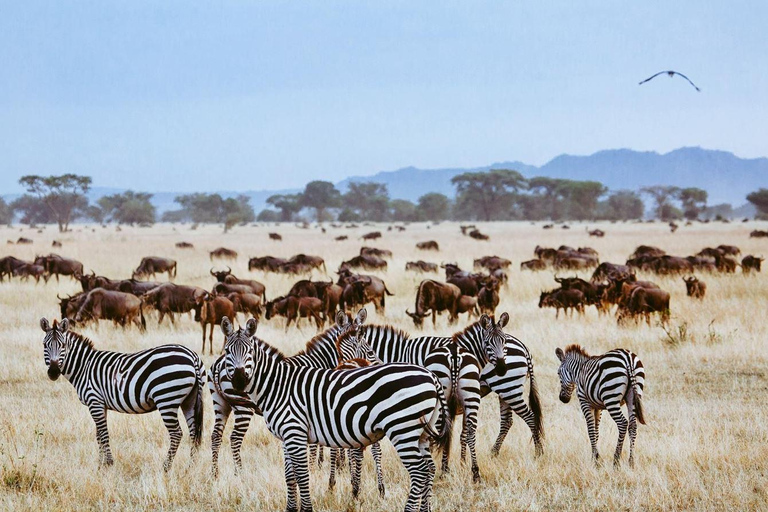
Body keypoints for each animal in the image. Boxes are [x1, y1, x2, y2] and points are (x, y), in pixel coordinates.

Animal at [38, 318, 207, 470]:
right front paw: (100, 465)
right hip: (189, 400)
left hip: (167, 399)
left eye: (63, 346)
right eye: (45, 345)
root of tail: (192, 356)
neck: (84, 367)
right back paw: (191, 467)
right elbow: (99, 435)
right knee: (194, 433)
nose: (53, 372)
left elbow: (104, 434)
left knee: (177, 433)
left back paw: (166, 467)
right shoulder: (101, 404)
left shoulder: (94, 401)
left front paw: (109, 464)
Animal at [216, 316, 450, 512]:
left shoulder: (295, 433)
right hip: (421, 434)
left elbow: (302, 475)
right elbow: (289, 476)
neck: (278, 385)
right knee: (429, 468)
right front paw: (291, 508)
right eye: (227, 352)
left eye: (249, 352)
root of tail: (431, 376)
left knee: (419, 472)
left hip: (403, 429)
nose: (238, 381)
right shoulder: (286, 437)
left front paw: (307, 508)